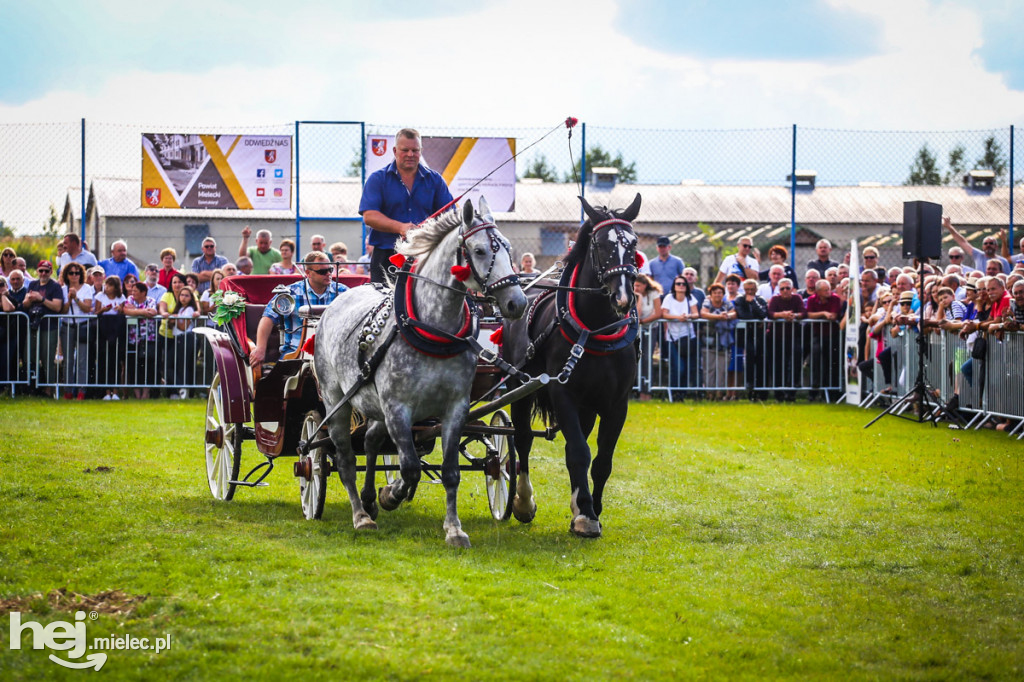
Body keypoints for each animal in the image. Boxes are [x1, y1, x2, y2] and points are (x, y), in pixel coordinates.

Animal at [313, 196, 528, 548]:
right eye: (480, 250)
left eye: (508, 248)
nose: (516, 303)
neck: (432, 328)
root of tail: (334, 303)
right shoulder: (397, 408)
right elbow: (411, 466)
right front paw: (392, 494)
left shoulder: (455, 408)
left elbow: (451, 471)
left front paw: (454, 529)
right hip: (336, 402)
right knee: (344, 460)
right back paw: (361, 515)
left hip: (374, 406)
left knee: (370, 441)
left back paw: (369, 499)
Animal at [503, 192, 638, 536]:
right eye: (600, 245)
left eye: (632, 244)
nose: (622, 298)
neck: (595, 330)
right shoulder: (562, 394)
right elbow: (578, 452)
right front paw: (585, 516)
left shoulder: (617, 403)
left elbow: (601, 459)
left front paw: (591, 508)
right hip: (519, 388)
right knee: (522, 440)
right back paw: (523, 502)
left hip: (587, 407)